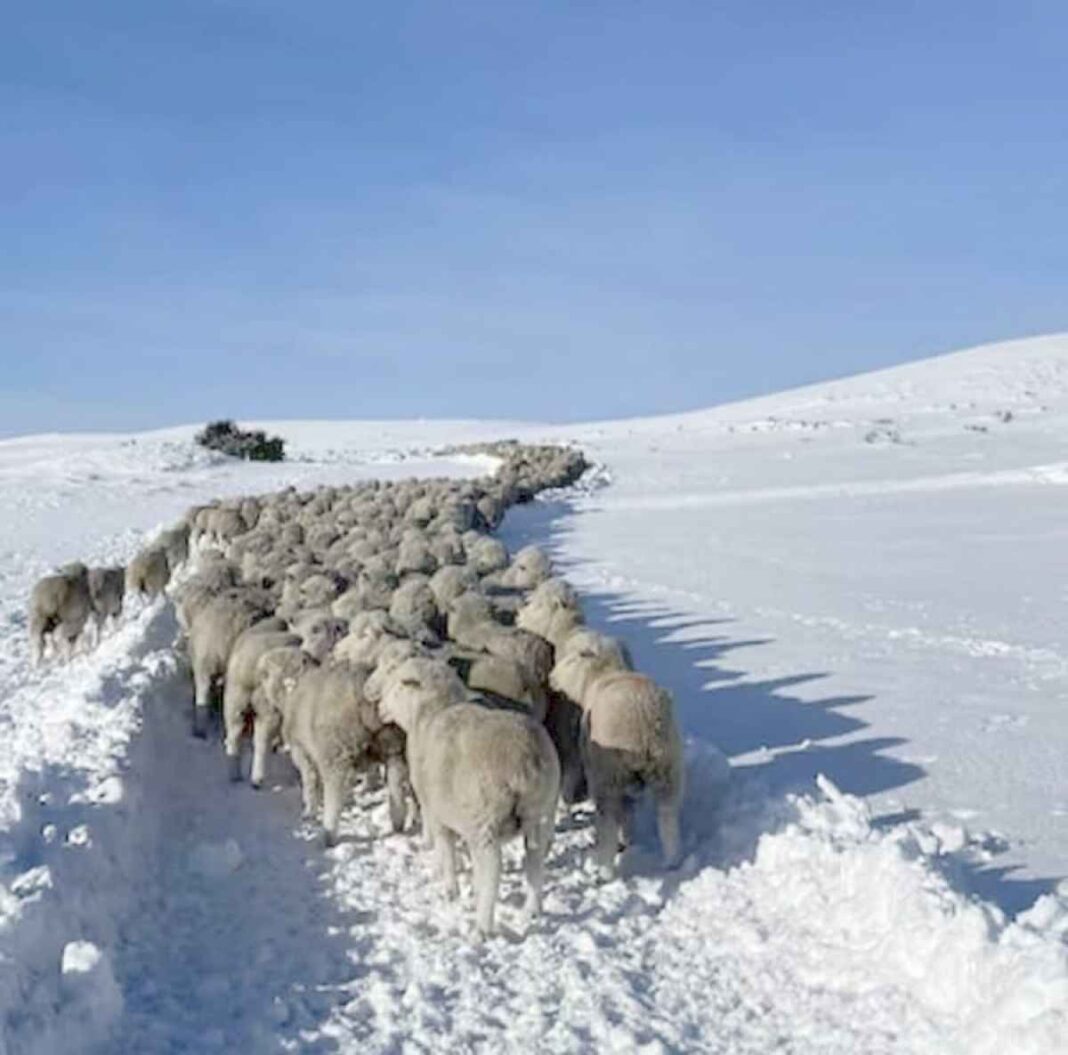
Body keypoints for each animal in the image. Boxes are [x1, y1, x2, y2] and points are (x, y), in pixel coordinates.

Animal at [382, 683, 559, 939]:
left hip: (487, 816)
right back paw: (532, 910)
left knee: (494, 867)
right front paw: (472, 886)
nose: (379, 708)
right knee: (535, 860)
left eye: (396, 690)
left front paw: (450, 890)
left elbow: (446, 852)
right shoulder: (465, 822)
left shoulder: (439, 815)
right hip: (541, 811)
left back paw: (483, 925)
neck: (429, 713)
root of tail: (525, 762)